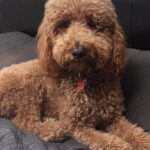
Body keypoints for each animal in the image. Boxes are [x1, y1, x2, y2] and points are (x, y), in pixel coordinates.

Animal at [0, 0, 150, 149]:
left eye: (91, 23)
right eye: (65, 24)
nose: (78, 51)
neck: (84, 77)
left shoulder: (113, 117)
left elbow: (135, 132)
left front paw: (144, 142)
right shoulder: (78, 126)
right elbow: (108, 141)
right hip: (29, 88)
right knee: (23, 121)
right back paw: (54, 129)